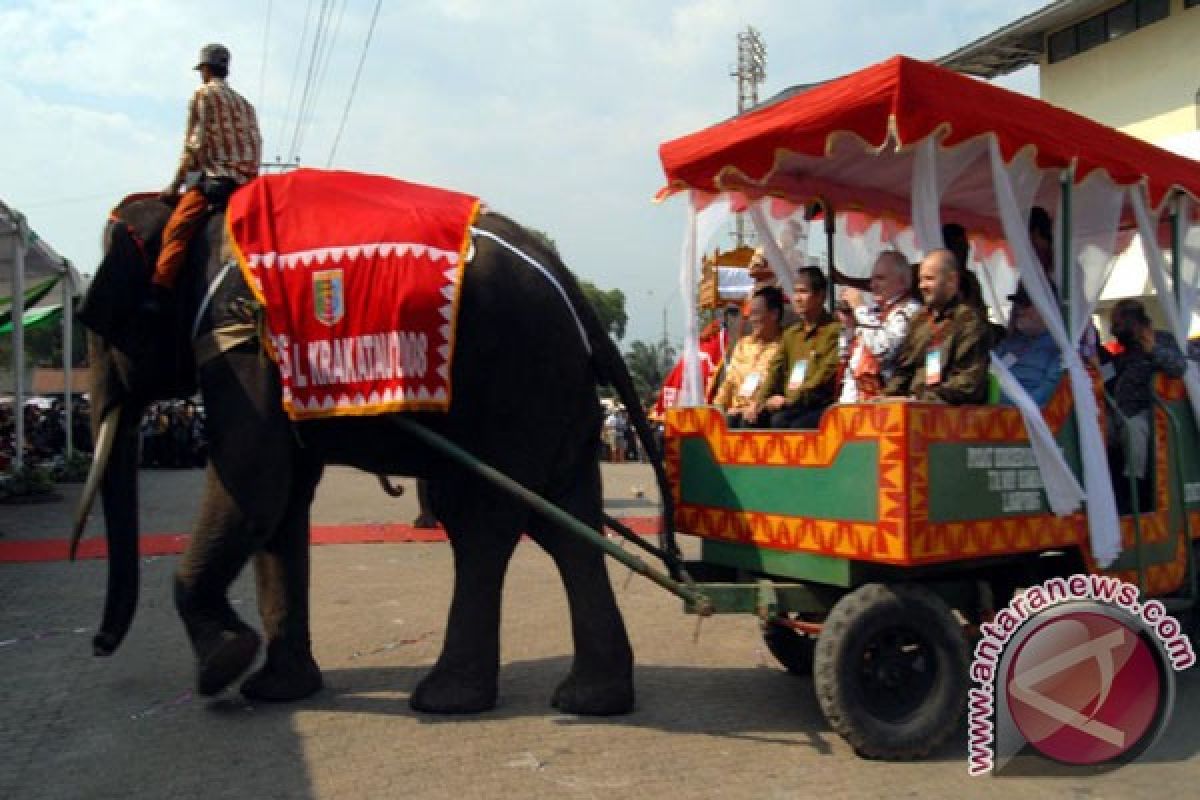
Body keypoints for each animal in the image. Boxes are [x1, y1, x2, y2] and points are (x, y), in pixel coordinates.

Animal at [75, 190, 676, 714]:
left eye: (99, 323)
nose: (100, 645)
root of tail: (566, 278)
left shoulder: (239, 335)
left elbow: (255, 483)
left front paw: (224, 666)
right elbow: (283, 502)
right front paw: (274, 691)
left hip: (514, 381)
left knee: (485, 524)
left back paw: (445, 700)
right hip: (556, 395)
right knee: (566, 525)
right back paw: (589, 700)